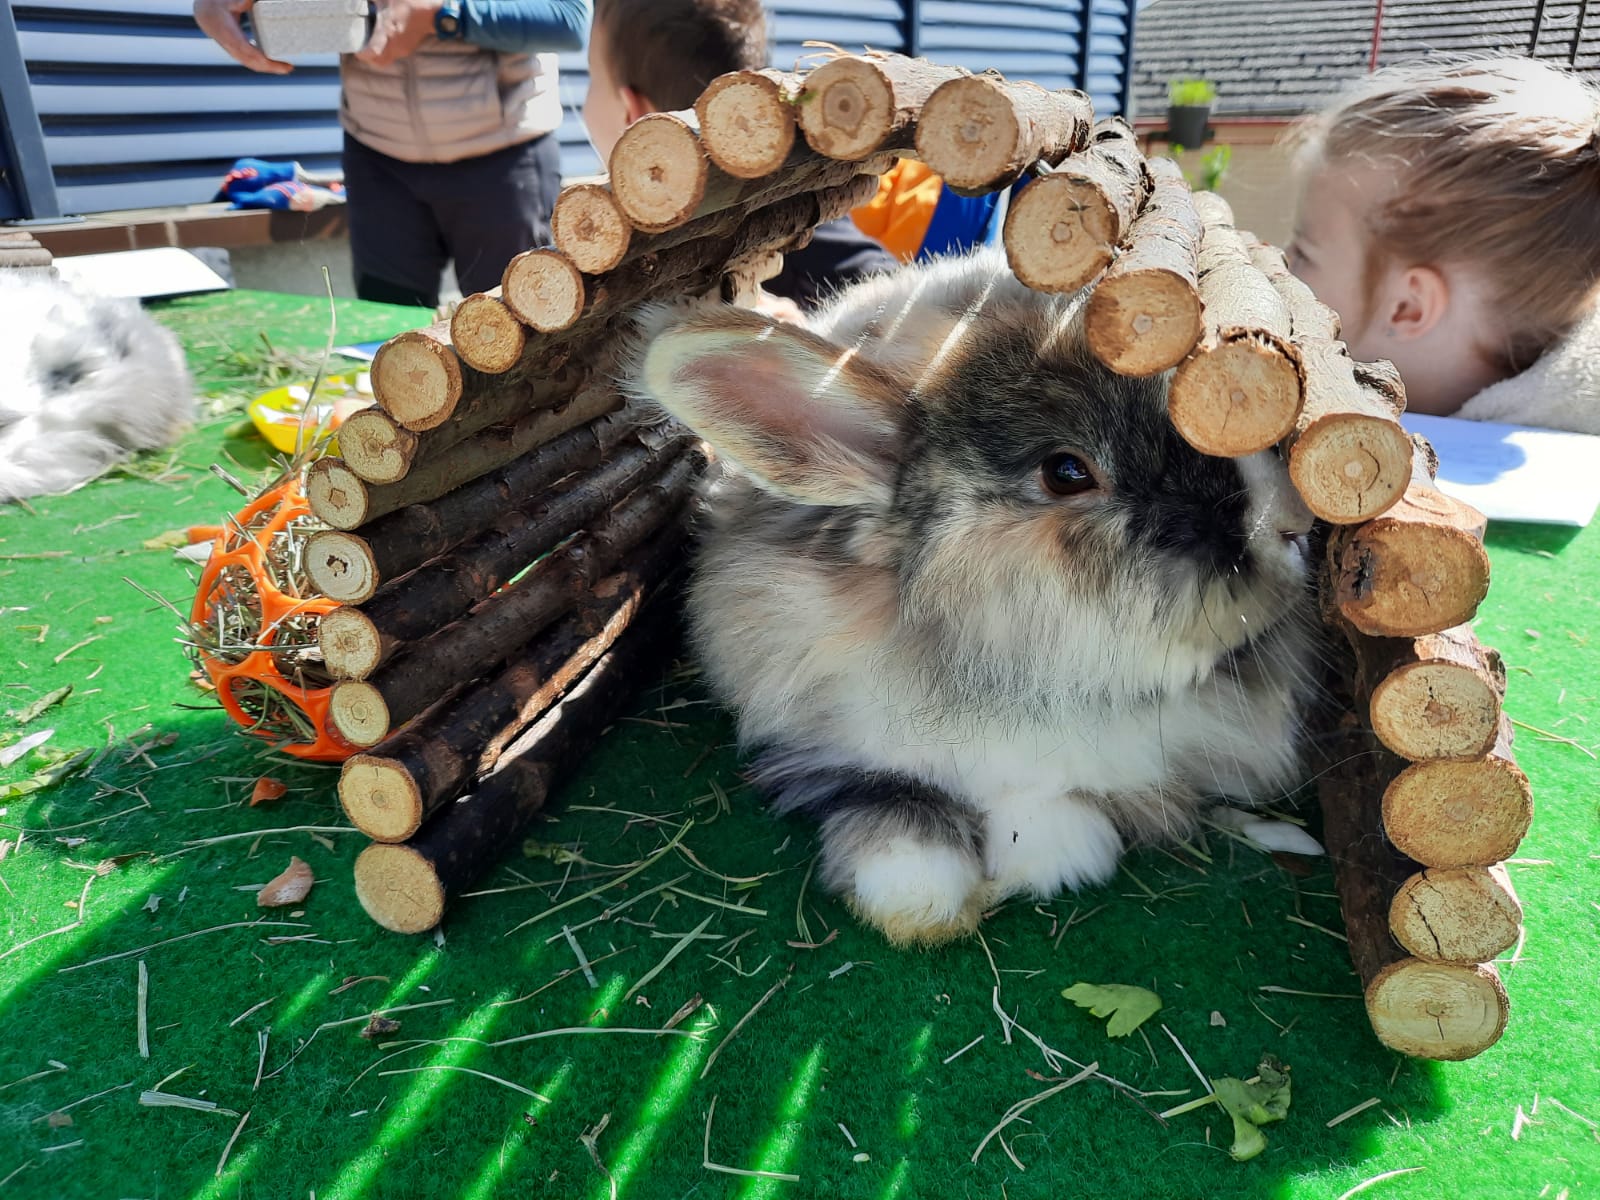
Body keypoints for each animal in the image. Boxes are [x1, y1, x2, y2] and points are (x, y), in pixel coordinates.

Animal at [625, 247, 1320, 945]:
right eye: (1067, 473)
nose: (1291, 524)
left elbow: (1061, 812)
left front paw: (1040, 862)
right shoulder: (820, 737)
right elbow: (888, 801)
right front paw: (920, 904)